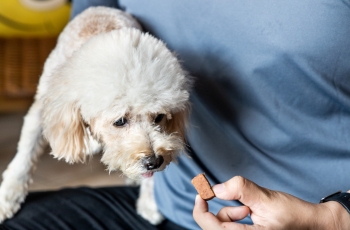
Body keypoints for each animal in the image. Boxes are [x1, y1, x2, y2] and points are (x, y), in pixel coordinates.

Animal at [0, 6, 191, 225]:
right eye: (120, 121)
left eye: (159, 117)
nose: (154, 161)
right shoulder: (44, 106)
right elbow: (26, 152)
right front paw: (8, 195)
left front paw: (149, 201)